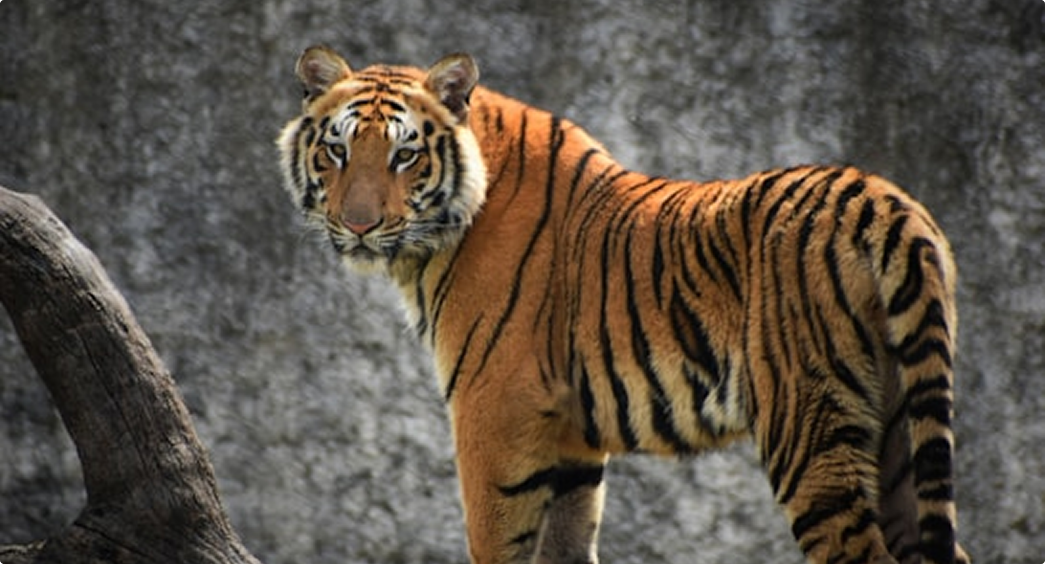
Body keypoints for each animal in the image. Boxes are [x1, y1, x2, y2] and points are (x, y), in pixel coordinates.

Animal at [278, 45, 969, 564]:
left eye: (405, 154)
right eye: (337, 150)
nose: (359, 225)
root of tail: (885, 201)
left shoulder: (492, 407)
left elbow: (496, 540)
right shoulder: (570, 437)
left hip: (810, 426)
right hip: (900, 426)